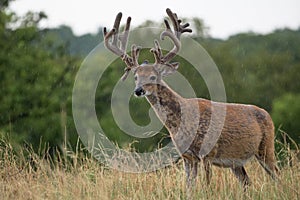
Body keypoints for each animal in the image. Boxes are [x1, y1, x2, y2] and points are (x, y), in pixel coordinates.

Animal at [103, 8, 278, 191]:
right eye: (135, 77)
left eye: (152, 76)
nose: (138, 90)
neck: (180, 124)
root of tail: (267, 115)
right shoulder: (187, 156)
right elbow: (189, 187)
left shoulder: (208, 152)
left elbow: (207, 184)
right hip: (236, 162)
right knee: (246, 182)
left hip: (266, 147)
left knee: (277, 174)